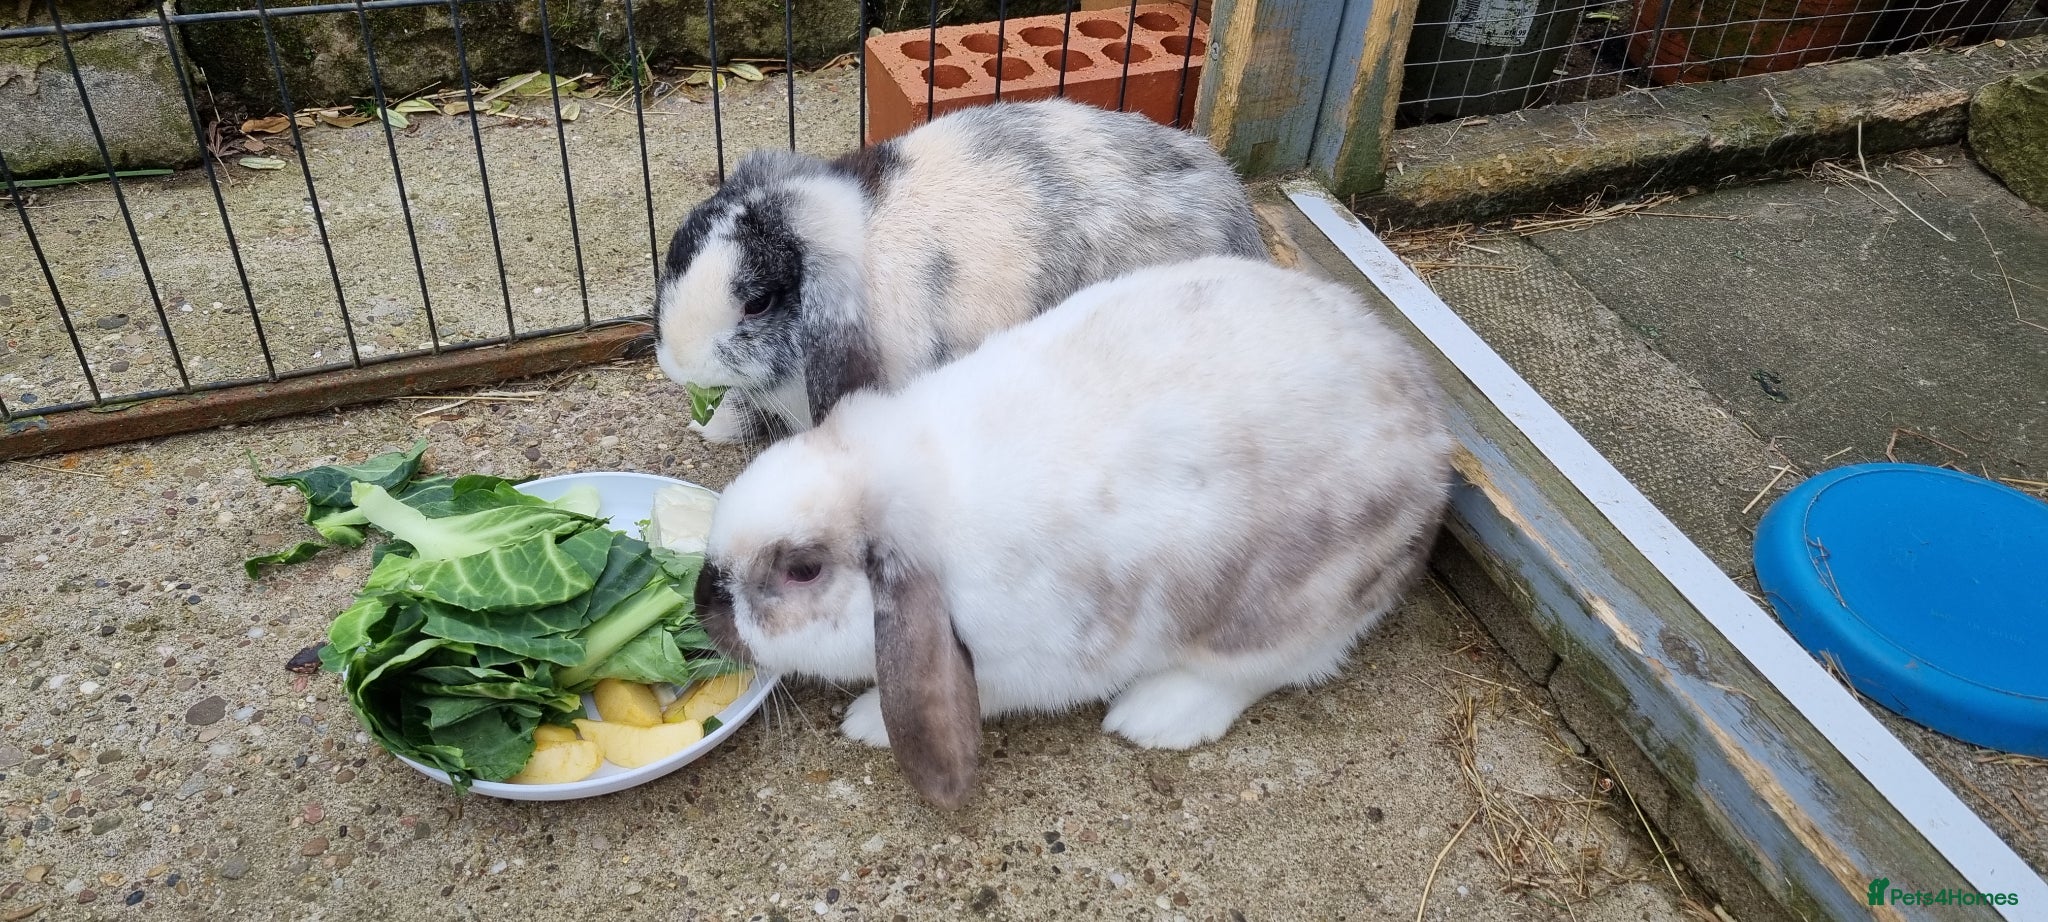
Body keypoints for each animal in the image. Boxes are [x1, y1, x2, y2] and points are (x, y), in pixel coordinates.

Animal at [690, 256, 1455, 809]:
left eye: (803, 569)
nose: (702, 602)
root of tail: (1433, 437)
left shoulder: (1018, 663)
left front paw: (867, 720)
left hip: (1292, 603)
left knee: (1271, 666)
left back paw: (1156, 715)